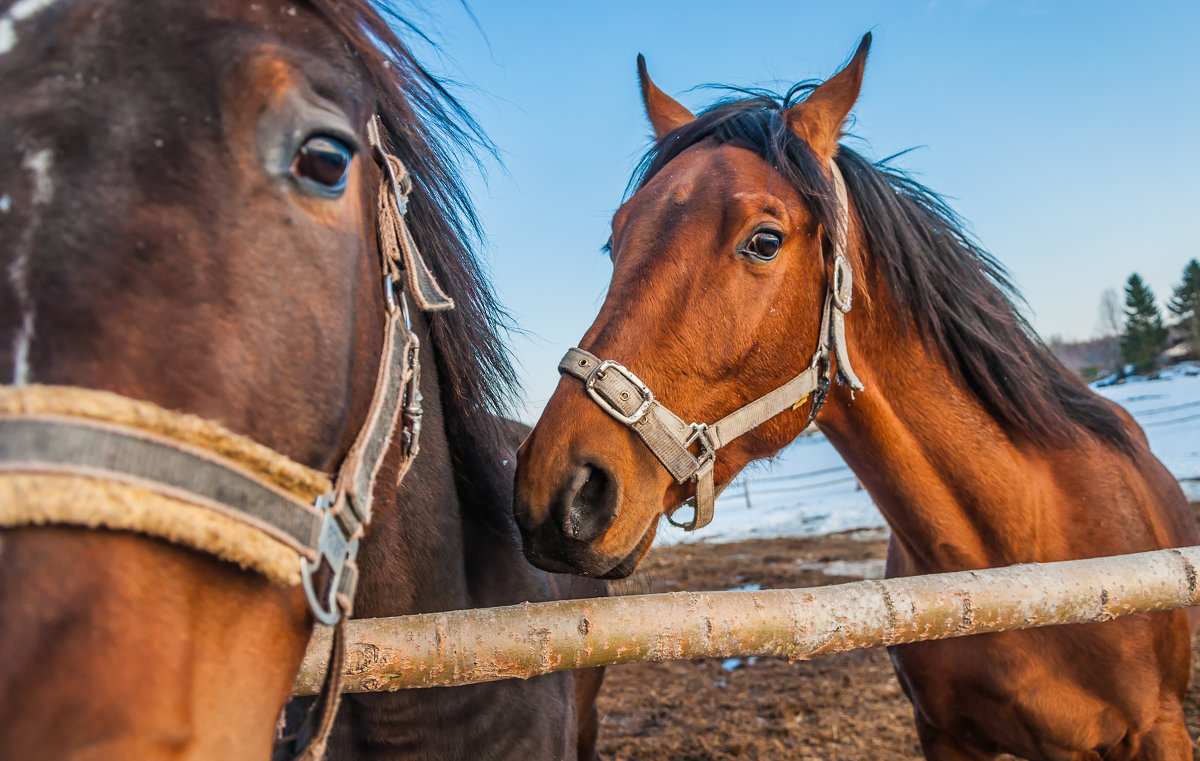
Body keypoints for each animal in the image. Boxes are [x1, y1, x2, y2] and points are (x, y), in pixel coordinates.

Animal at [516, 35, 1200, 758]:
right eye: (614, 239)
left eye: (764, 240)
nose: (559, 491)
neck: (1023, 564)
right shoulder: (943, 734)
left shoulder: (1159, 729)